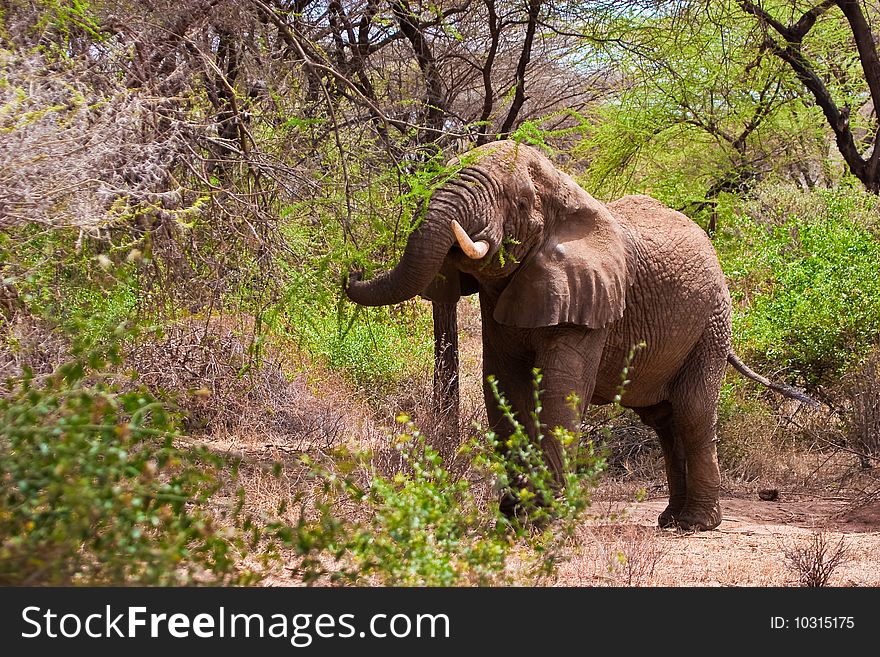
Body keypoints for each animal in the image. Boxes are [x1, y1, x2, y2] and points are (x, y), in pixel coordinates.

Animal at [346, 141, 820, 532]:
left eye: (519, 202)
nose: (352, 268)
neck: (562, 189)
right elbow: (504, 387)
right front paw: (513, 516)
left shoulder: (590, 297)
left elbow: (561, 391)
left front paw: (545, 519)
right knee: (663, 419)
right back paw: (670, 519)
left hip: (712, 322)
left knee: (692, 411)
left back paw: (696, 525)